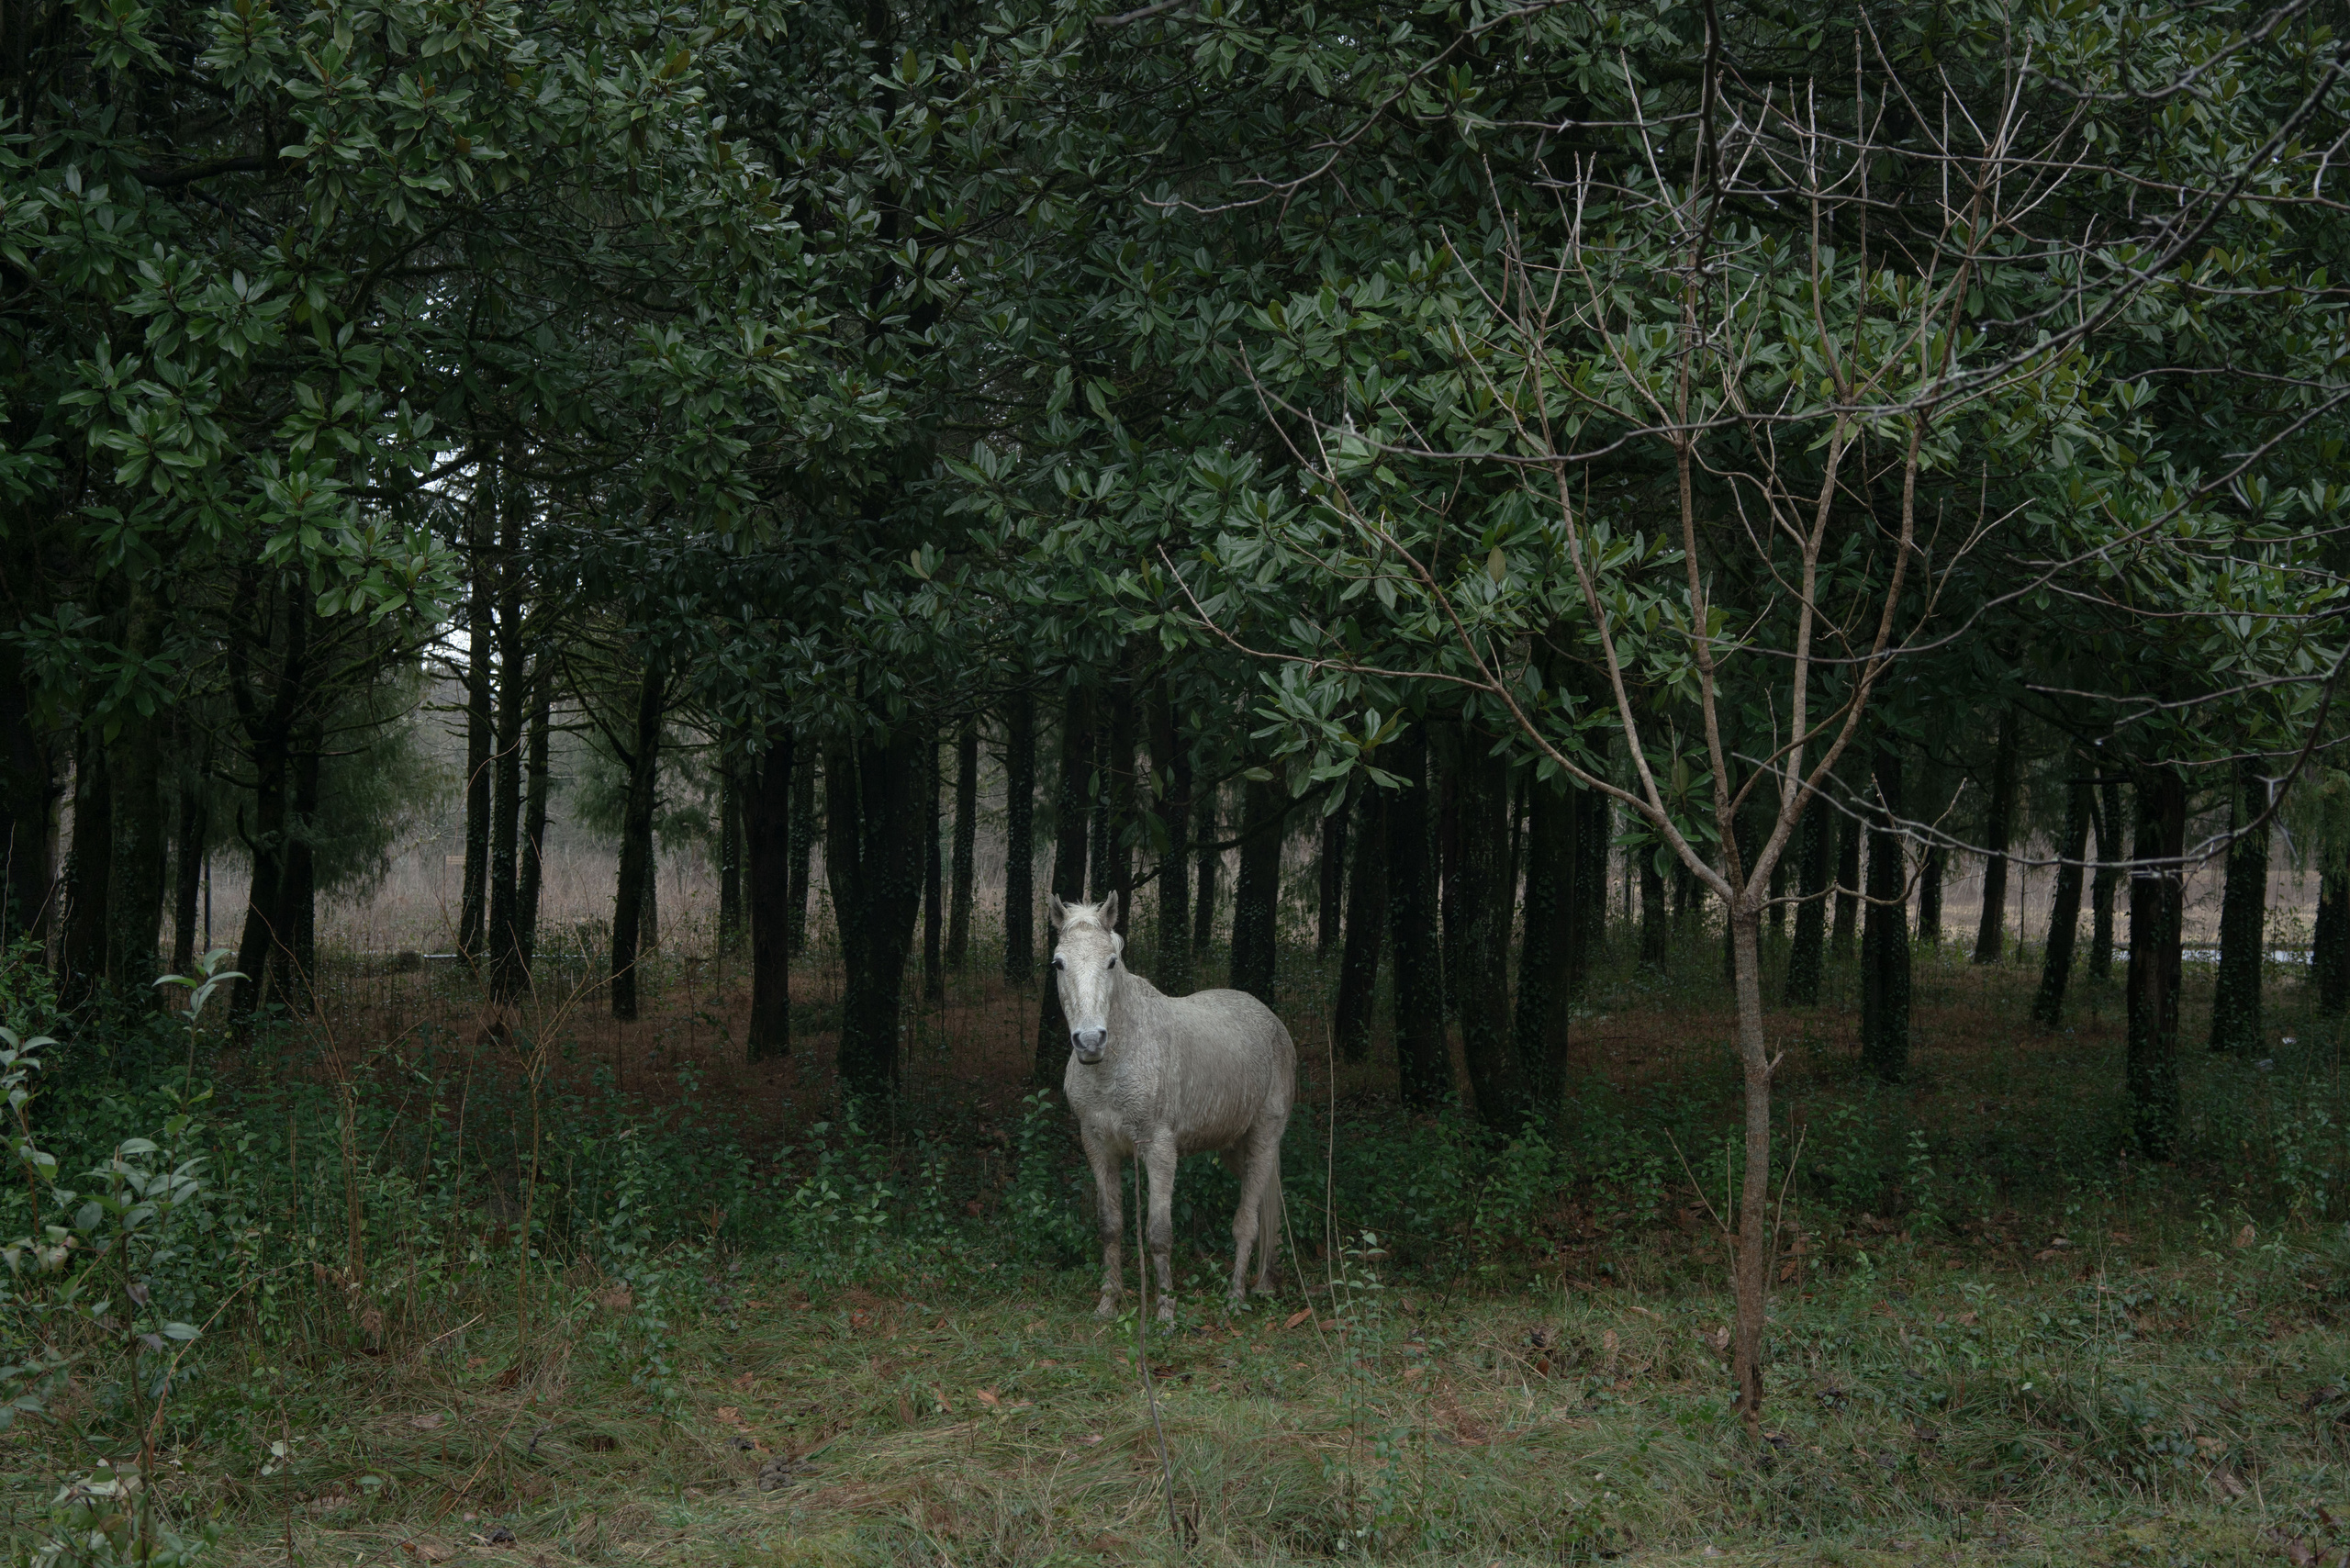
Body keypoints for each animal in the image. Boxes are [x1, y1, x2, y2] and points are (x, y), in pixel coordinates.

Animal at [1050, 892, 1295, 1322]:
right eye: (1058, 963)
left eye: (1111, 961)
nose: (1090, 1041)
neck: (1116, 1061)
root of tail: (1273, 1022)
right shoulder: (1097, 1146)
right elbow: (1110, 1226)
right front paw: (1108, 1302)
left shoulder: (1159, 1149)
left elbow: (1159, 1233)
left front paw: (1166, 1309)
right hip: (1236, 1149)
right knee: (1270, 1201)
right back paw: (1265, 1281)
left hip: (1265, 1138)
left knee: (1247, 1221)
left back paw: (1236, 1297)